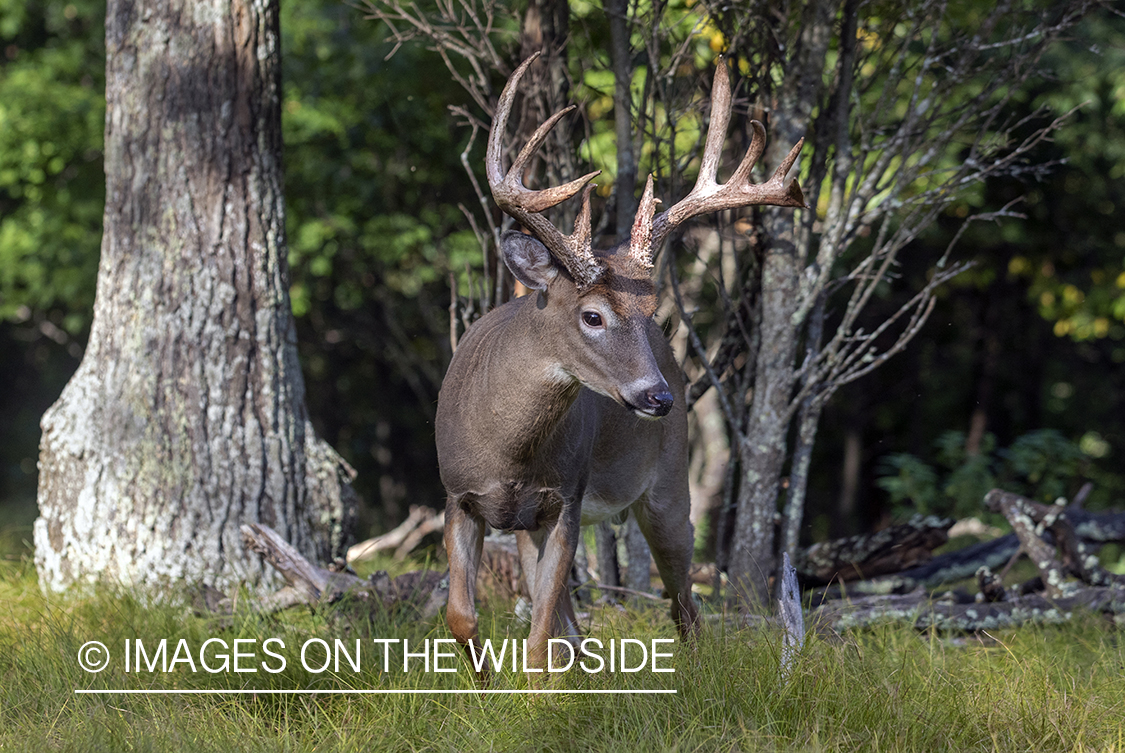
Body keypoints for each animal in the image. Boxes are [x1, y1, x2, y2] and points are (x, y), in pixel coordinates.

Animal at [434, 54, 805, 675]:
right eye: (592, 316)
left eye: (651, 311)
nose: (658, 397)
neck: (508, 450)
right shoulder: (458, 496)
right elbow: (465, 616)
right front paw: (485, 687)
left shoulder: (566, 498)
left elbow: (540, 633)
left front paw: (535, 696)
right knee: (576, 618)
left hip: (669, 486)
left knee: (684, 605)